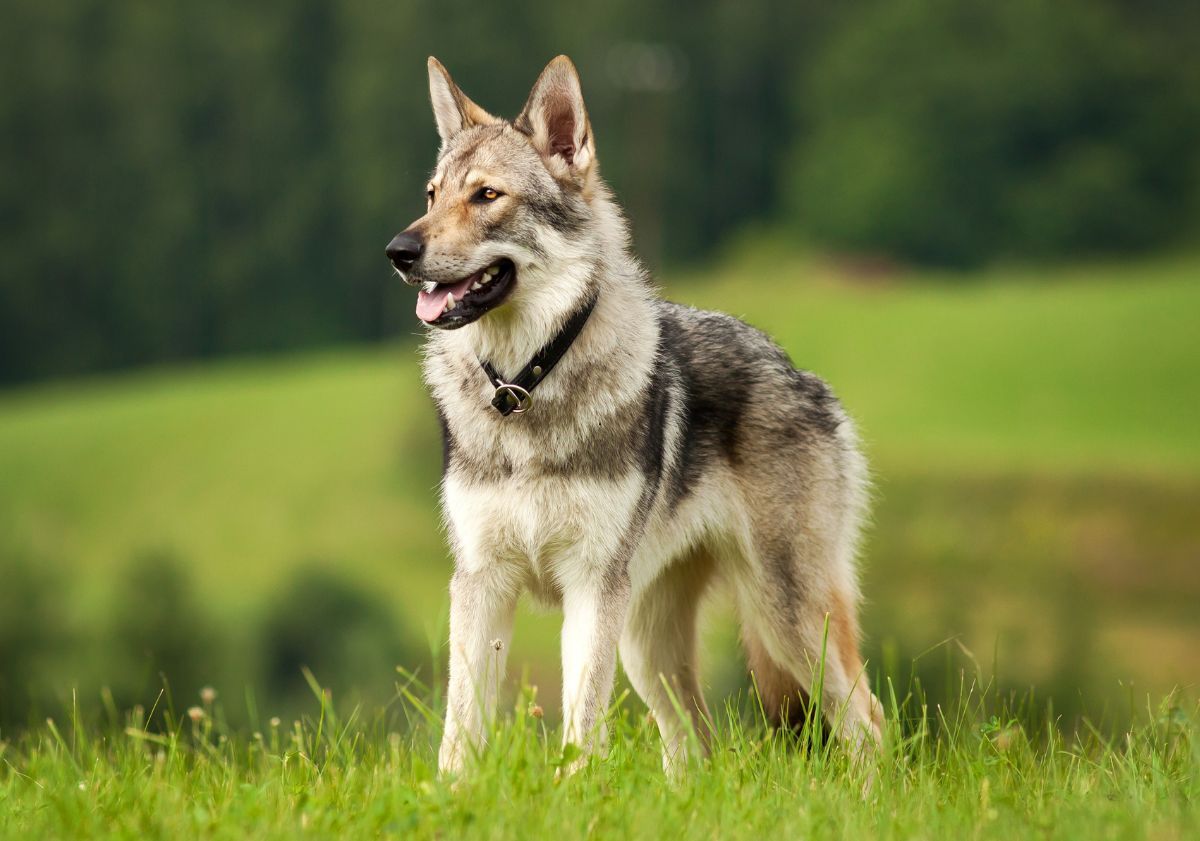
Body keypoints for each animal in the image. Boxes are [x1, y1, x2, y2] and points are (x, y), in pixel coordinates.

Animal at [384, 53, 883, 772]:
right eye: (430, 196)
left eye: (486, 196)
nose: (398, 251)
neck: (525, 387)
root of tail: (803, 373)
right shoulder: (481, 582)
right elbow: (462, 729)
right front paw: (451, 792)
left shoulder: (591, 587)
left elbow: (581, 725)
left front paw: (572, 788)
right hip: (651, 650)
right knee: (697, 746)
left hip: (783, 616)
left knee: (867, 721)